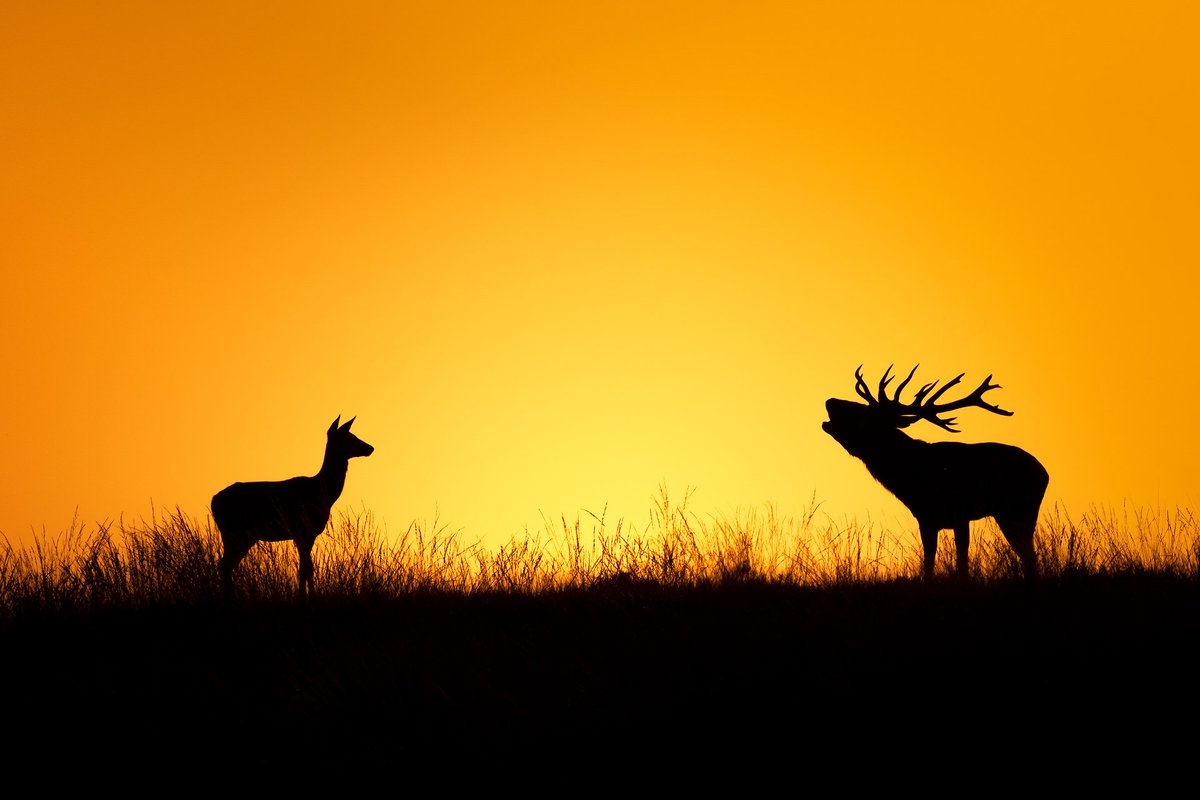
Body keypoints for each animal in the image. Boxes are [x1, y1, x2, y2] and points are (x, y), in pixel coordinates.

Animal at [211, 416, 374, 597]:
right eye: (348, 437)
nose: (370, 448)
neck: (323, 493)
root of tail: (214, 501)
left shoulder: (305, 534)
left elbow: (305, 567)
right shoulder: (303, 530)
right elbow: (306, 568)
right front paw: (307, 596)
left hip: (240, 535)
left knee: (225, 564)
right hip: (236, 531)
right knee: (225, 564)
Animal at [822, 366, 1048, 580]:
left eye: (865, 414)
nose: (830, 401)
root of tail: (1045, 473)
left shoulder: (959, 513)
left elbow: (961, 564)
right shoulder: (926, 518)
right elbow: (929, 564)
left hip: (1019, 509)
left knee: (1029, 555)